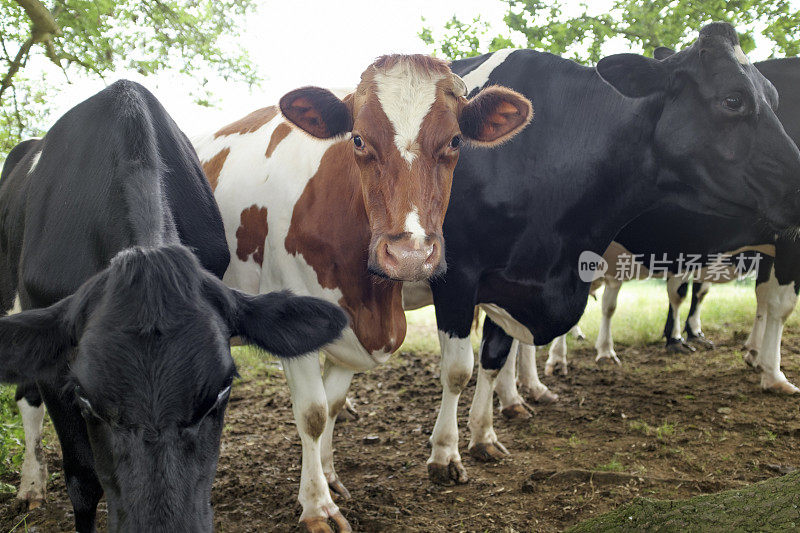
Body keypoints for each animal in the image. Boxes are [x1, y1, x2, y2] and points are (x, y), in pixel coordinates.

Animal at [0, 80, 344, 532]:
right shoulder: (56, 359)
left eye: (223, 390)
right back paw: (30, 486)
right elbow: (83, 482)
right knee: (27, 399)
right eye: (86, 399)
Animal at [193, 56, 532, 528]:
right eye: (357, 138)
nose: (410, 254)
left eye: (455, 140)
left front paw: (330, 476)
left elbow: (334, 404)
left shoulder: (353, 329)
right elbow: (312, 413)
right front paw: (317, 506)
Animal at [400, 22, 800, 484]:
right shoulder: (459, 275)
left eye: (774, 99)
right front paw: (445, 455)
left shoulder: (511, 280)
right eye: (733, 99)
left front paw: (484, 436)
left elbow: (495, 356)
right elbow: (457, 369)